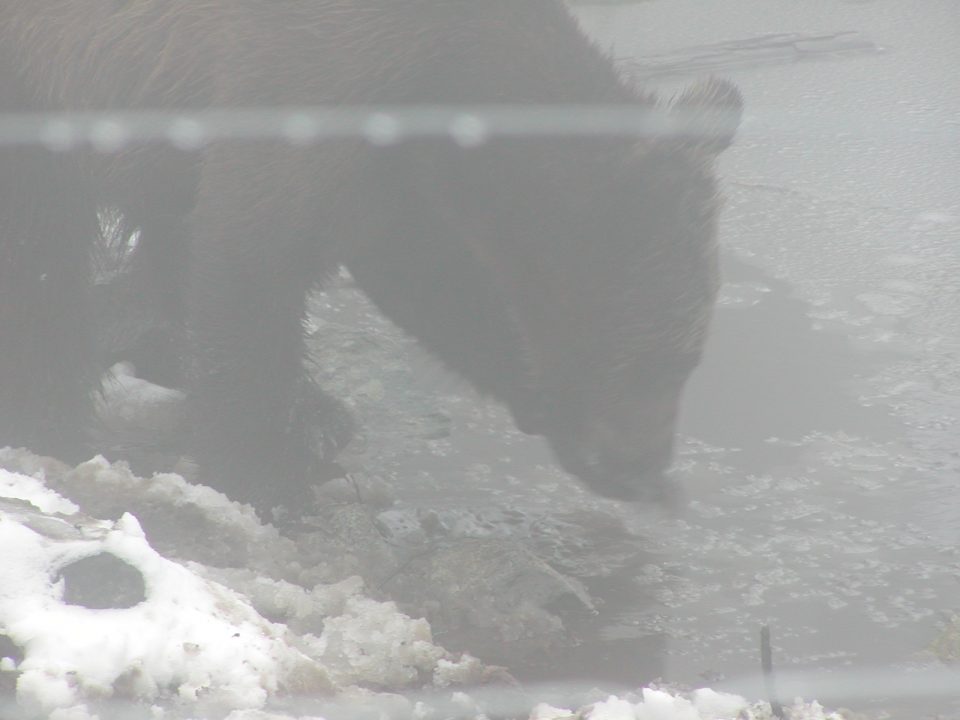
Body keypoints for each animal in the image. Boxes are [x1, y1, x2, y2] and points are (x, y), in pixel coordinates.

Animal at [0, 2, 744, 516]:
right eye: (666, 361)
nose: (643, 462)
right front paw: (264, 474)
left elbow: (438, 285)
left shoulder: (399, 180)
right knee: (40, 255)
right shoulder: (306, 79)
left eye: (686, 357)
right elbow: (246, 267)